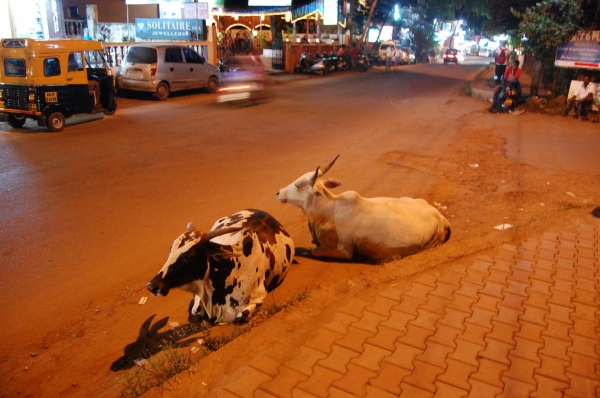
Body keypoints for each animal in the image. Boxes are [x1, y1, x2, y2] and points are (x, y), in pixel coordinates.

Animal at [146, 210, 294, 324]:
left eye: (189, 255)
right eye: (171, 249)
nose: (152, 286)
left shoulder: (259, 296)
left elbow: (240, 317)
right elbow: (195, 314)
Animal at [276, 155, 450, 262]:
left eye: (298, 185)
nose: (278, 192)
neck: (327, 210)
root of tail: (441, 219)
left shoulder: (343, 251)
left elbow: (312, 251)